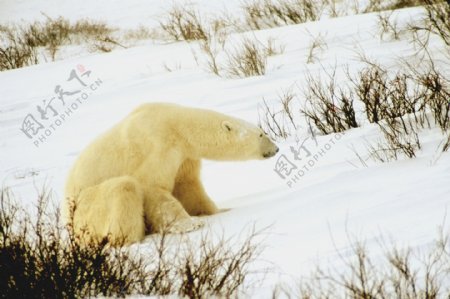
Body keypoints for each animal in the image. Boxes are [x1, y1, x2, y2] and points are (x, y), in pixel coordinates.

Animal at [63, 104, 278, 245]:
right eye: (261, 133)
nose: (275, 149)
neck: (176, 125)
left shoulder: (184, 156)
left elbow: (188, 186)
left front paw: (216, 211)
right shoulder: (157, 146)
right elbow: (153, 188)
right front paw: (191, 224)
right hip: (86, 209)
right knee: (123, 187)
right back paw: (129, 239)